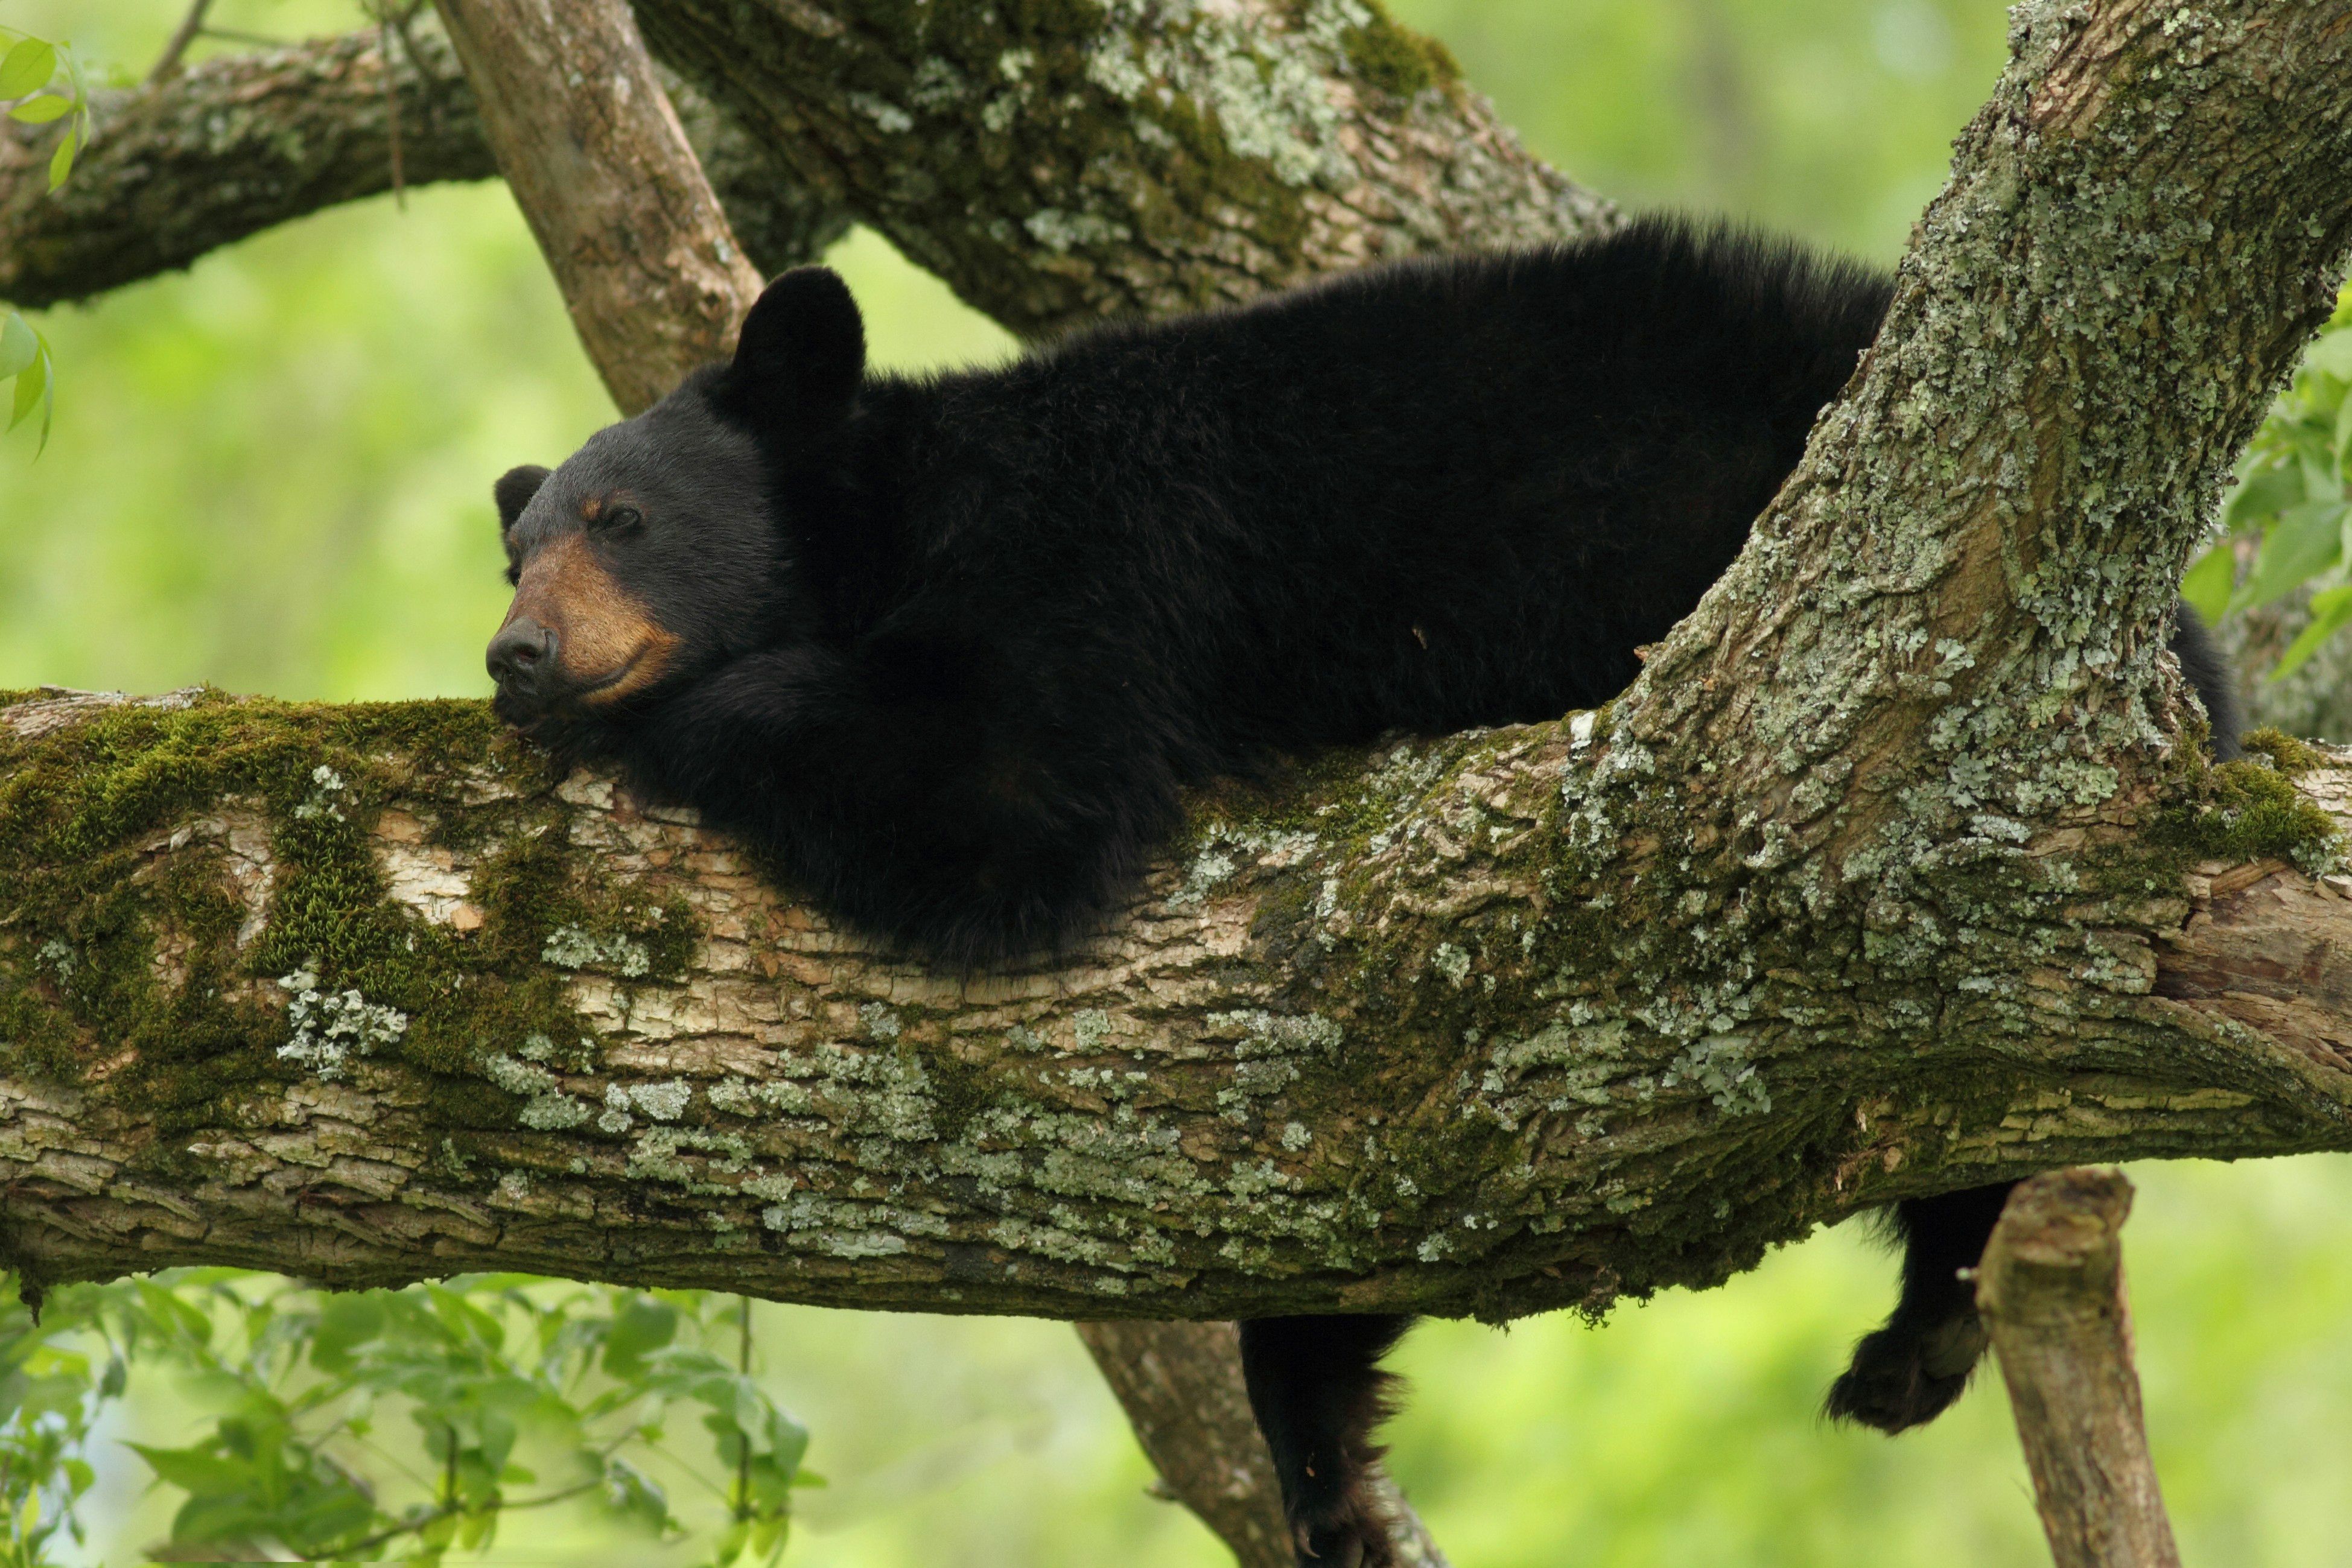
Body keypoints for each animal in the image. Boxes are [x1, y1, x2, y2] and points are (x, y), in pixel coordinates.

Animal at [482, 223, 2239, 1568]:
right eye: (518, 549)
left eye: (621, 519)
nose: (518, 652)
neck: (899, 512)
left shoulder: (1090, 557)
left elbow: (1011, 798)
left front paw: (664, 711)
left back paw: (1926, 1312)